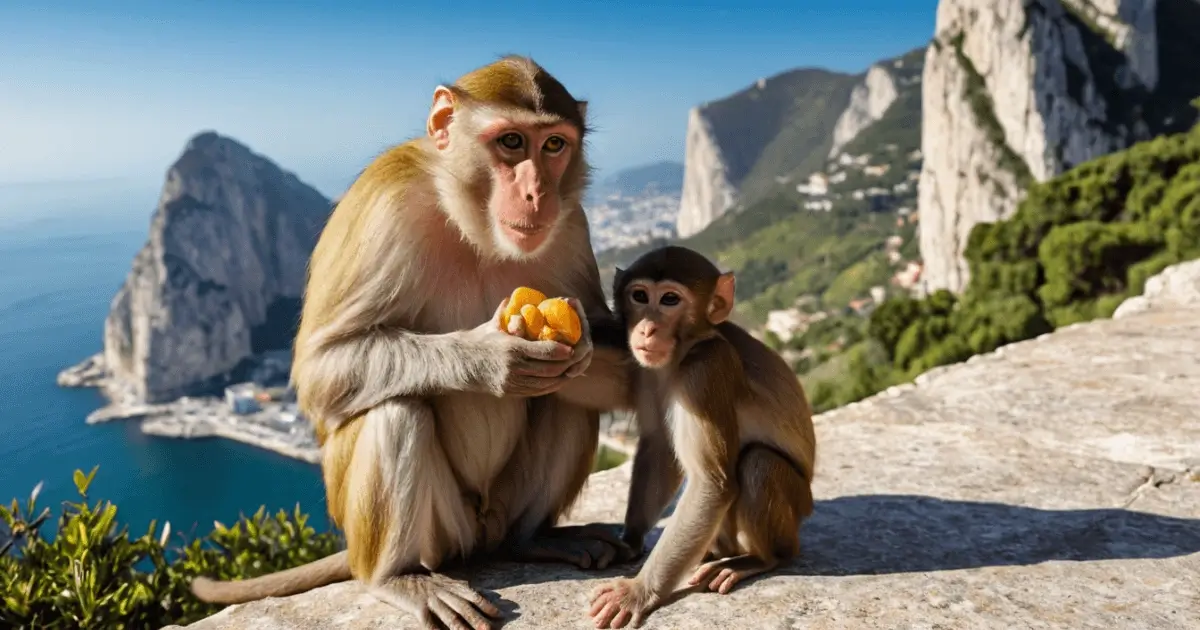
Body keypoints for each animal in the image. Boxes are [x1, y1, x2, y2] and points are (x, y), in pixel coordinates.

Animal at [189, 56, 638, 624]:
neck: (475, 228)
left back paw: (533, 540)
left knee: (566, 397)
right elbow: (320, 370)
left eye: (554, 145)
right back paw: (398, 577)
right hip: (440, 533)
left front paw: (586, 346)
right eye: (512, 142)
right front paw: (489, 359)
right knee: (397, 410)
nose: (538, 193)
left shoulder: (572, 223)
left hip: (499, 511)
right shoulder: (384, 207)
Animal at [588, 246, 816, 628]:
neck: (687, 348)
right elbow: (660, 448)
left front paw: (638, 592)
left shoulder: (706, 369)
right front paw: (630, 541)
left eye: (669, 299)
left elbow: (712, 483)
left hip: (799, 506)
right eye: (639, 296)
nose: (646, 329)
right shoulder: (646, 369)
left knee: (759, 463)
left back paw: (761, 559)